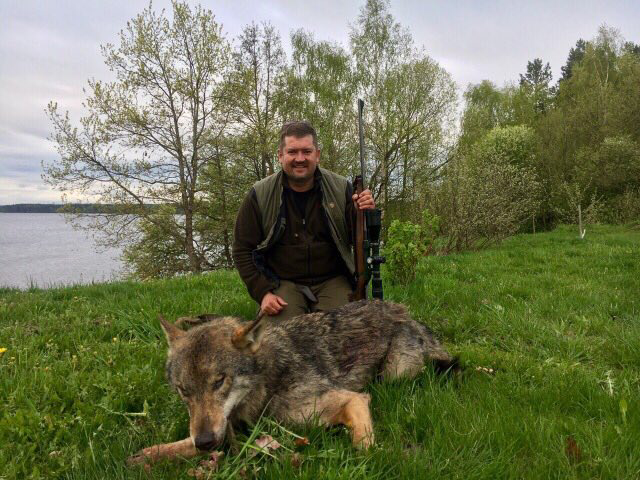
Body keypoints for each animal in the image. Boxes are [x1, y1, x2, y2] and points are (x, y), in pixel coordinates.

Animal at [127, 300, 457, 465]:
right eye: (183, 391)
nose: (206, 442)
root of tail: (407, 314)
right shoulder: (229, 430)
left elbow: (364, 445)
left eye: (219, 381)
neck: (269, 381)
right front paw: (151, 454)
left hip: (396, 373)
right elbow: (187, 443)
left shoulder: (351, 399)